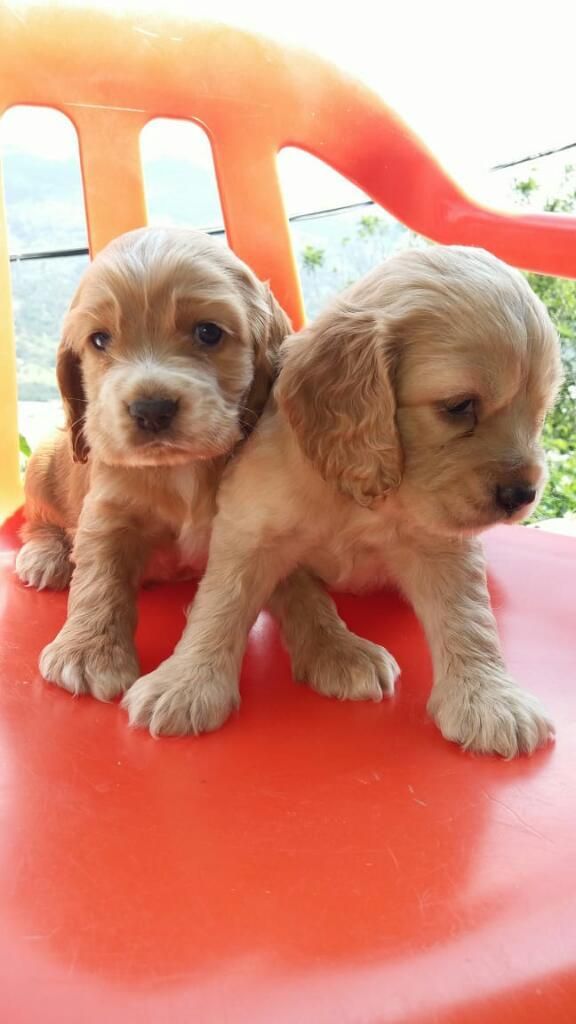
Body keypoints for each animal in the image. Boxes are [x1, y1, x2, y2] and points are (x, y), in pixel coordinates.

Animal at [16, 227, 291, 700]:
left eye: (208, 333)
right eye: (100, 340)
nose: (151, 410)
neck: (182, 467)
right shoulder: (107, 511)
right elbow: (100, 579)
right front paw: (88, 655)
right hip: (44, 461)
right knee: (38, 518)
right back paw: (45, 556)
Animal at [121, 245, 561, 761]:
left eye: (541, 412)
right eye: (458, 406)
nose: (522, 495)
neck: (361, 494)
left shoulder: (443, 545)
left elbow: (469, 617)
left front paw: (490, 700)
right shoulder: (251, 529)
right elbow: (223, 602)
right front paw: (186, 684)